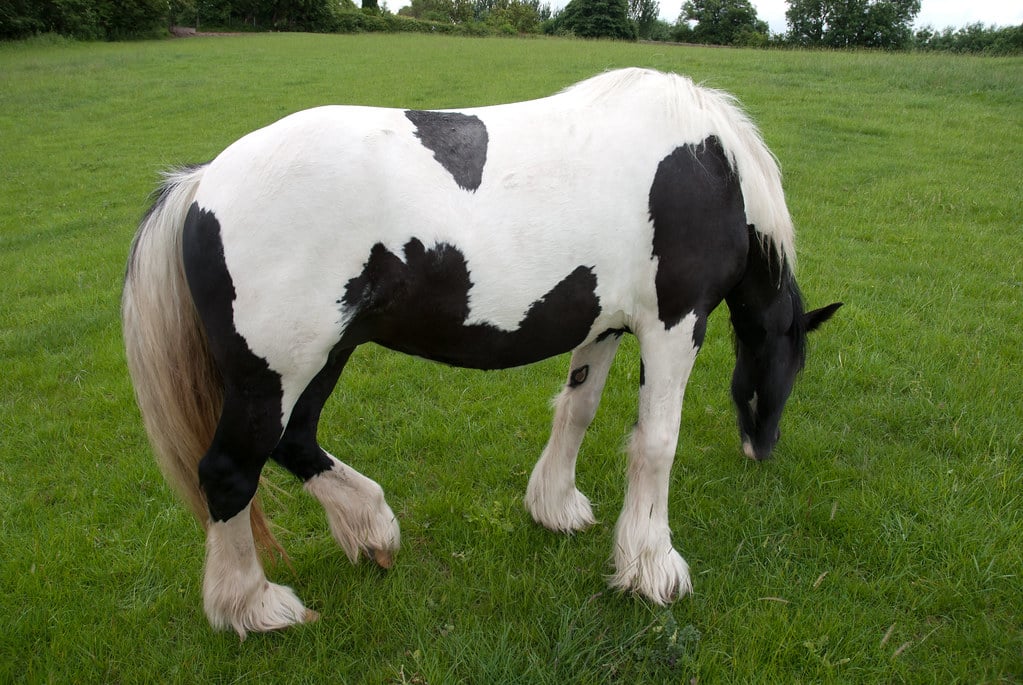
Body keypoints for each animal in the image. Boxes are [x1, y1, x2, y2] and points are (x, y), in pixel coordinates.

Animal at [122, 68, 841, 638]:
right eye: (793, 363)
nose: (763, 448)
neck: (710, 167)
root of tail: (202, 183)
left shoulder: (604, 324)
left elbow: (577, 410)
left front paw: (555, 506)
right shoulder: (673, 321)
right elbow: (655, 442)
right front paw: (652, 567)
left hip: (320, 356)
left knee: (295, 440)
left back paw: (372, 530)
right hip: (276, 372)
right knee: (227, 472)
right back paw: (253, 605)